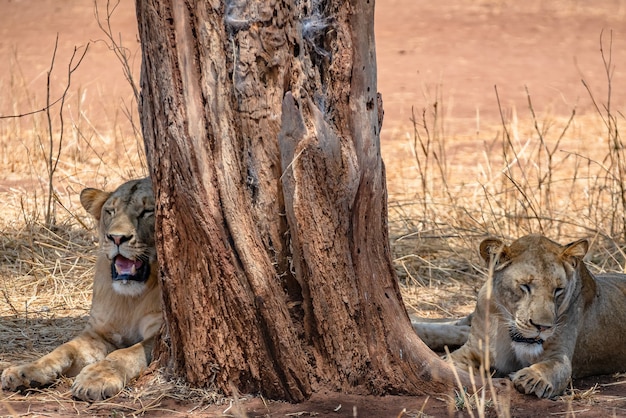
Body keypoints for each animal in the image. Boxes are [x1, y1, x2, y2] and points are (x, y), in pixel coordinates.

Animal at [1, 179, 161, 402]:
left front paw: (95, 379)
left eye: (147, 211)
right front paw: (24, 371)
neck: (131, 300)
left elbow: (126, 353)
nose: (116, 238)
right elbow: (63, 349)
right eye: (110, 211)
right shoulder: (98, 333)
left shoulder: (161, 333)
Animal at [410, 235, 624, 398]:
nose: (543, 327)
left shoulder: (559, 355)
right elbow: (448, 364)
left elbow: (554, 366)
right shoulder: (472, 351)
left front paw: (533, 378)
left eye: (558, 290)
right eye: (525, 286)